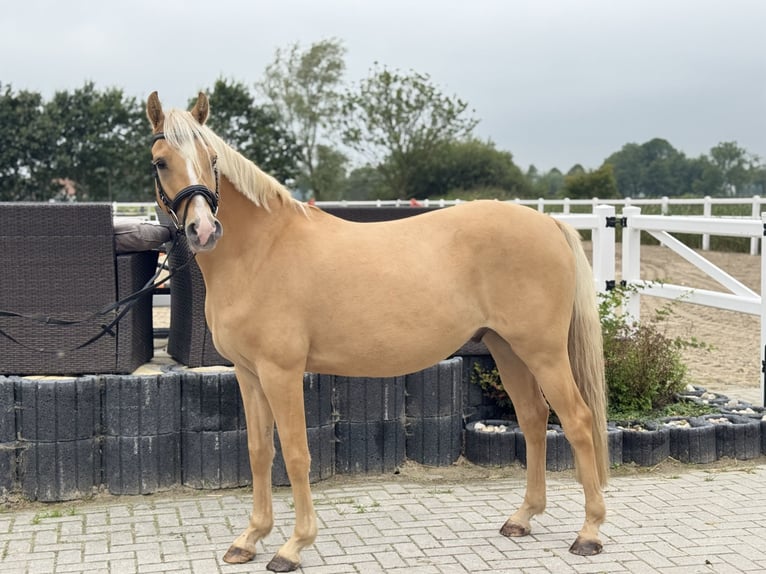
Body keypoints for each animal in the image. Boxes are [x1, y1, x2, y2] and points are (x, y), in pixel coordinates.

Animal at [146, 91, 608, 572]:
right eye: (160, 162)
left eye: (211, 158)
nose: (204, 230)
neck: (261, 251)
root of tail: (549, 223)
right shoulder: (248, 373)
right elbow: (259, 452)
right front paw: (249, 539)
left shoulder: (281, 372)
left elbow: (295, 453)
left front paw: (293, 545)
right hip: (508, 348)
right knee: (534, 418)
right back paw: (523, 517)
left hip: (543, 351)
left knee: (577, 420)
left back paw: (589, 533)